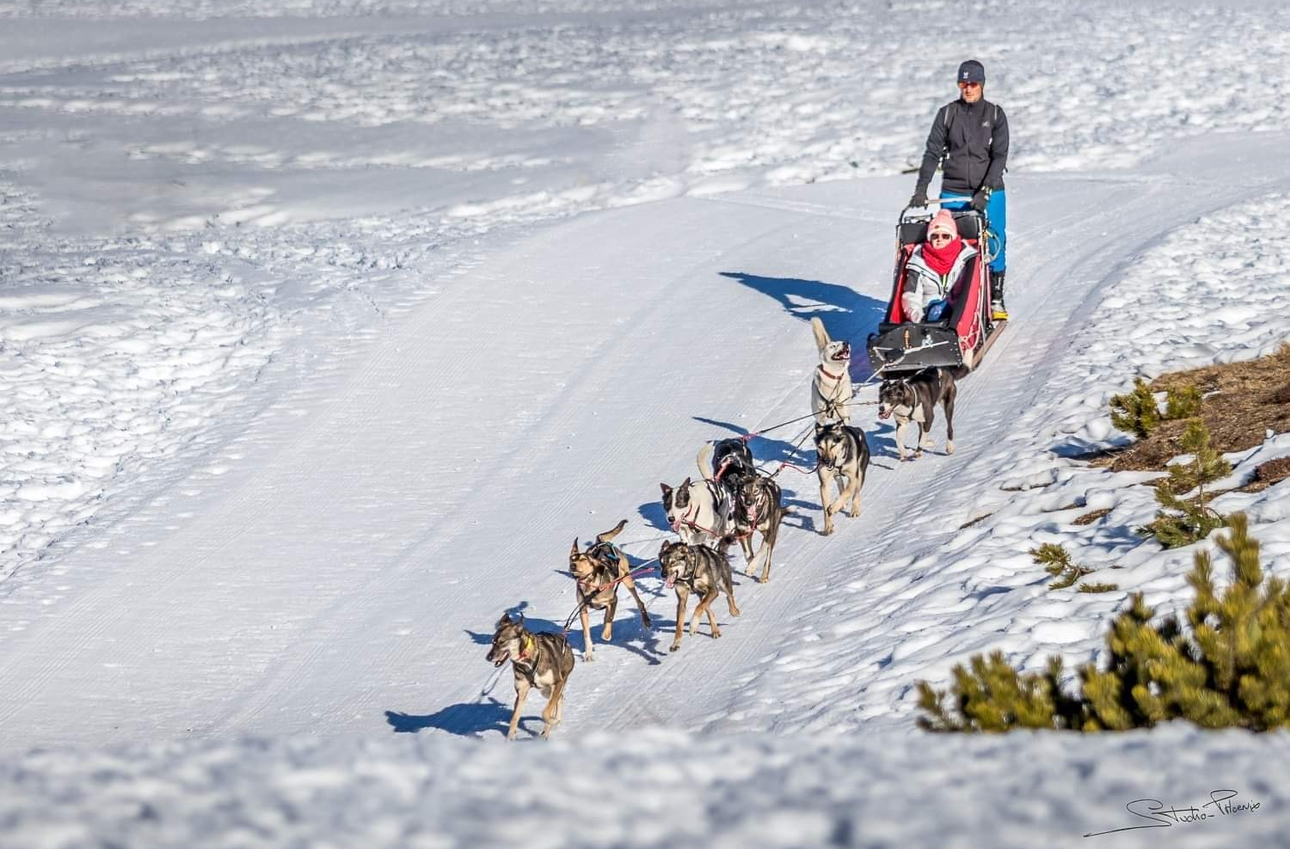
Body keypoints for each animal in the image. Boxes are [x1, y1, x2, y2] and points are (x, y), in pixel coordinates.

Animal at [487, 609, 575, 743]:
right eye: (493, 642)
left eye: (502, 642)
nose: (488, 657)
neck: (526, 660)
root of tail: (564, 639)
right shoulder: (521, 693)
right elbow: (514, 718)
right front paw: (510, 738)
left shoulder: (557, 682)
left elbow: (545, 712)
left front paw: (552, 721)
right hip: (546, 691)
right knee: (560, 698)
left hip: (556, 685)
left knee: (556, 701)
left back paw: (550, 727)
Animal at [570, 516, 655, 660]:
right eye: (571, 559)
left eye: (583, 559)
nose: (572, 565)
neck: (590, 586)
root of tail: (602, 543)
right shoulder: (583, 610)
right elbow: (586, 634)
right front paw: (588, 653)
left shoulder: (614, 600)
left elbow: (609, 621)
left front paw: (606, 635)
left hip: (627, 579)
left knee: (639, 602)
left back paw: (646, 620)